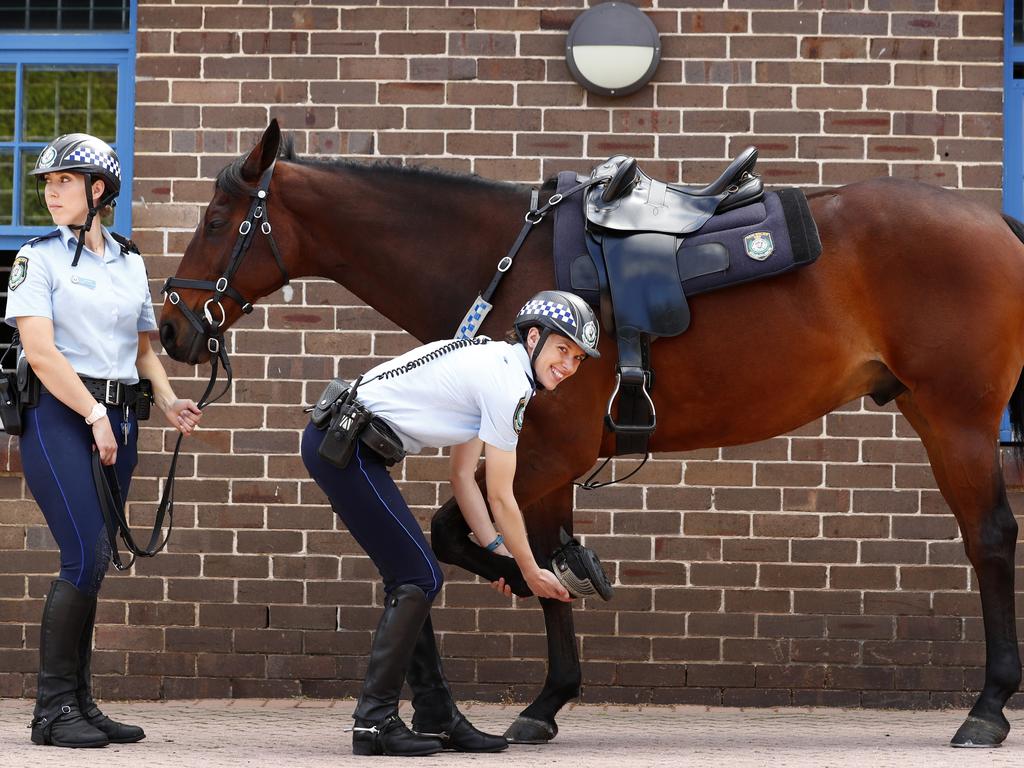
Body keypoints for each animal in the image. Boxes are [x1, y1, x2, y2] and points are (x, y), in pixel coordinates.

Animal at [159, 121, 1024, 753]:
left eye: (216, 220)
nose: (172, 327)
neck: (508, 264)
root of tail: (993, 221)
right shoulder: (542, 458)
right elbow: (532, 550)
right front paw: (548, 691)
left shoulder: (551, 453)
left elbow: (456, 536)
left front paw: (538, 587)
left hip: (958, 418)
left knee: (988, 537)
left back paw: (986, 709)